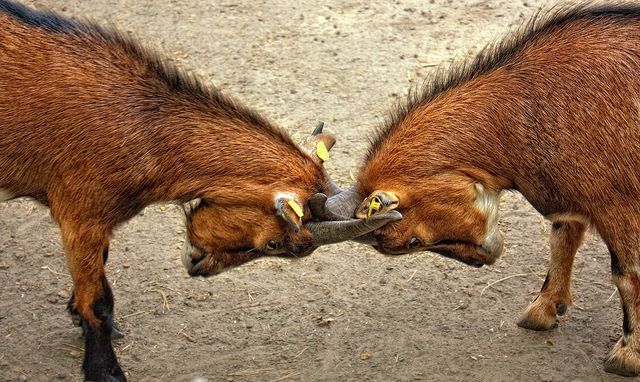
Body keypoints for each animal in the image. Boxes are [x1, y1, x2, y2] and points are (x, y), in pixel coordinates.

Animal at [0, 1, 396, 380]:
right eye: (277, 245)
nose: (197, 267)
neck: (144, 127)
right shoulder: (80, 216)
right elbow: (96, 301)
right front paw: (105, 371)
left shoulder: (97, 222)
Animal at [322, 2, 640, 378]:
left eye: (413, 242)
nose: (482, 259)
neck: (524, 107)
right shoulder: (570, 198)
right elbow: (562, 240)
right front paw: (542, 310)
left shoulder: (617, 204)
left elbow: (627, 274)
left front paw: (627, 356)